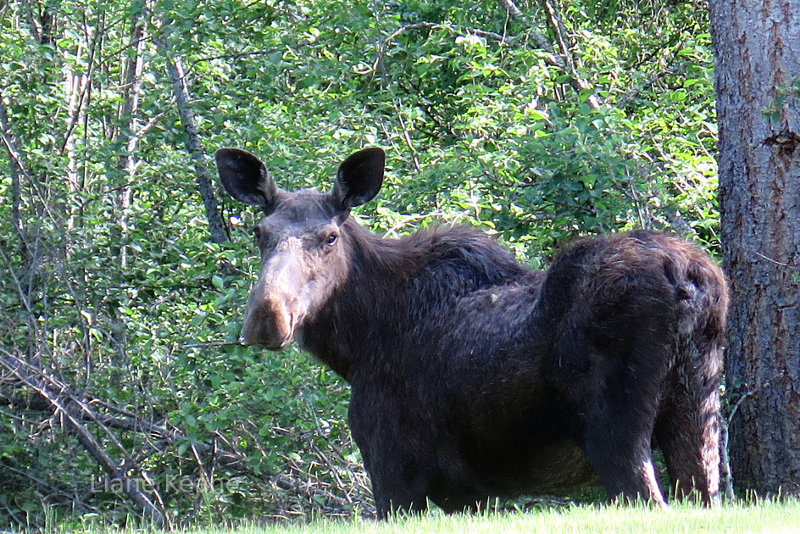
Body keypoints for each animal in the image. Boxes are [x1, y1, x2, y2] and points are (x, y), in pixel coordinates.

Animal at [216, 147, 728, 520]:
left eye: (329, 236)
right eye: (259, 232)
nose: (266, 316)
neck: (357, 344)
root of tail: (691, 279)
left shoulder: (391, 465)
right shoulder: (469, 493)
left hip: (615, 432)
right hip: (696, 412)